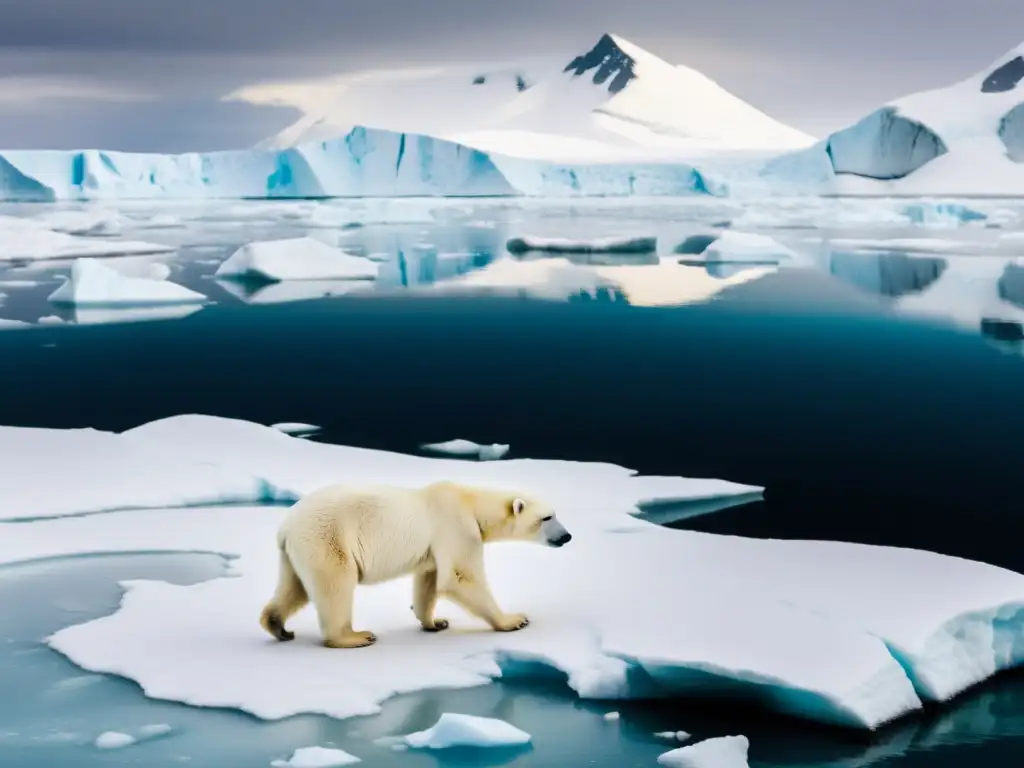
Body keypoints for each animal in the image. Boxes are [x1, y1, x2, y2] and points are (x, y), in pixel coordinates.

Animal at [260, 481, 573, 651]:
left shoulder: (434, 547)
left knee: (294, 587)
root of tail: (284, 528)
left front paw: (436, 622)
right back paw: (354, 636)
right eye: (547, 518)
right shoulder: (456, 525)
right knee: (335, 585)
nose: (567, 536)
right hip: (328, 538)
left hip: (298, 551)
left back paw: (278, 626)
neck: (469, 501)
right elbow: (460, 576)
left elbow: (429, 581)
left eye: (555, 513)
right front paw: (514, 619)